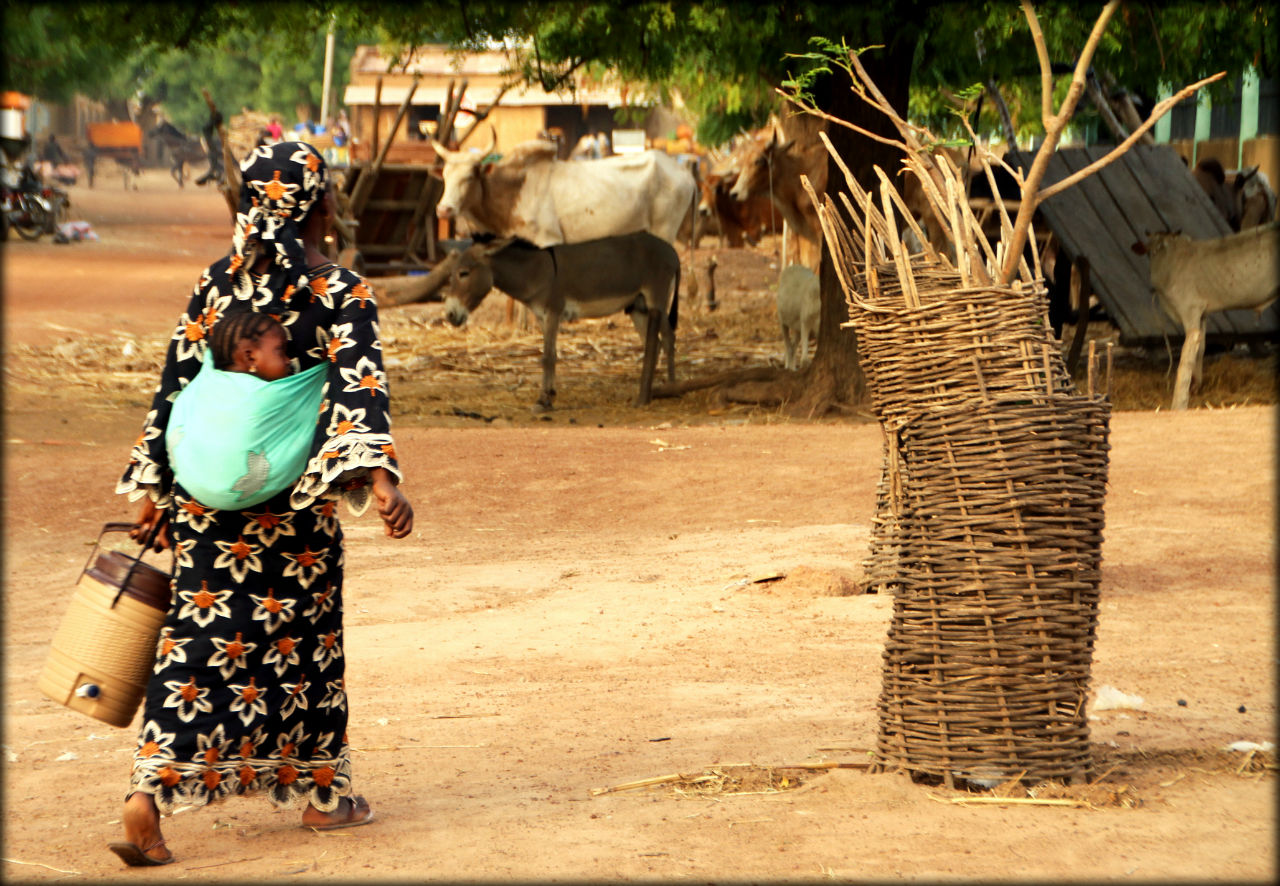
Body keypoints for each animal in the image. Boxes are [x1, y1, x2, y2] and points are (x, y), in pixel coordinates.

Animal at [432, 128, 696, 247]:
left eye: (469, 176)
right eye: (444, 176)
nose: (444, 210)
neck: (515, 188)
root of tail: (685, 173)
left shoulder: (549, 240)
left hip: (664, 231)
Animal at [1136, 222, 1274, 414]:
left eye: (1165, 248)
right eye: (1150, 251)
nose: (1156, 279)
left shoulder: (1190, 309)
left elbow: (1188, 352)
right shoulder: (1202, 313)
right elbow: (1200, 347)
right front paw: (1196, 385)